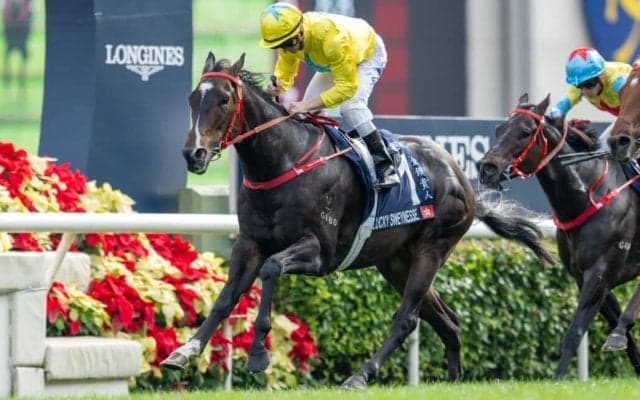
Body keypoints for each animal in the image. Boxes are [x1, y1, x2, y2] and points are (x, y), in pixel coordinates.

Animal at [161, 52, 555, 389]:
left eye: (224, 99)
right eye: (193, 97)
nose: (194, 154)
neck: (284, 162)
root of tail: (463, 180)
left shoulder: (319, 252)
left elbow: (272, 269)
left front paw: (258, 355)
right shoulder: (249, 243)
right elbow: (226, 297)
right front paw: (184, 351)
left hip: (433, 247)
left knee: (407, 318)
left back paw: (361, 375)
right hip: (396, 261)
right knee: (447, 321)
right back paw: (453, 380)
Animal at [477, 93, 640, 379]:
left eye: (525, 131)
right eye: (498, 129)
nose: (487, 167)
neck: (589, 197)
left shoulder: (600, 272)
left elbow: (575, 331)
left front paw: (558, 379)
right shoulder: (585, 276)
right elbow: (626, 334)